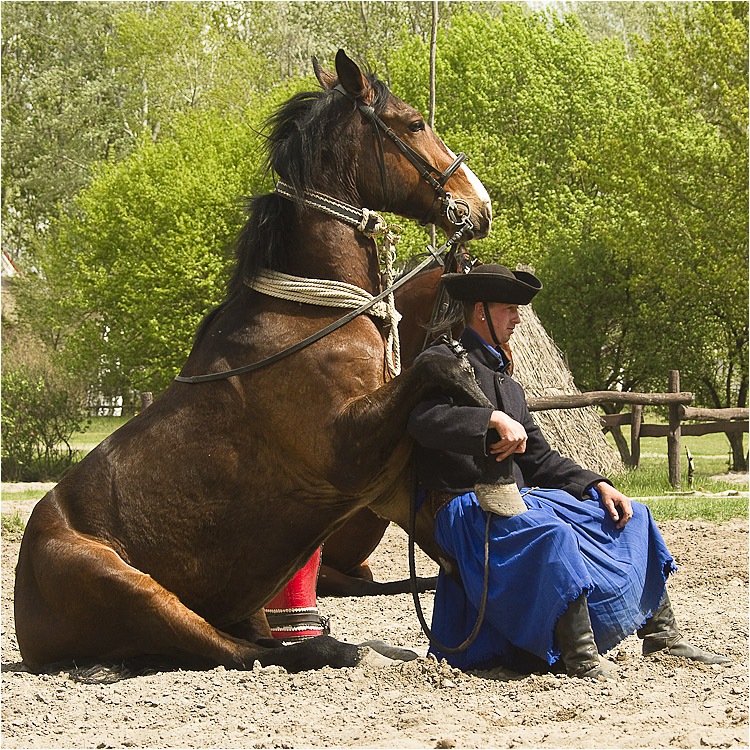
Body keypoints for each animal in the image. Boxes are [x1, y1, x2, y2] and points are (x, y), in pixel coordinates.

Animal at [13, 53, 494, 676]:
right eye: (414, 124)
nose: (480, 206)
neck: (310, 316)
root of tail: (25, 617)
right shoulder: (345, 448)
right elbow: (439, 366)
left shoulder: (389, 481)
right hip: (129, 587)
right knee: (239, 650)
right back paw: (334, 646)